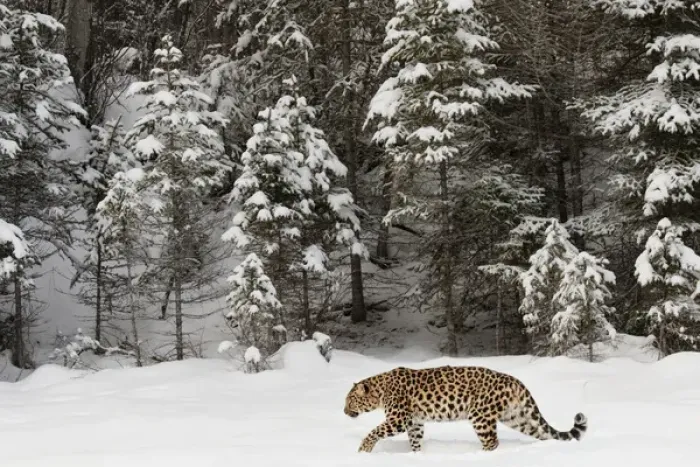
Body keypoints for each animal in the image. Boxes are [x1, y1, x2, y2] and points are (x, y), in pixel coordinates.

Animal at [344, 365, 587, 453]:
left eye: (350, 401)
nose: (344, 412)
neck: (380, 391)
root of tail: (515, 381)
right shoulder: (415, 422)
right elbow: (415, 441)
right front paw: (416, 456)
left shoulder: (397, 420)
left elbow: (374, 432)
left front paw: (363, 450)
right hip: (517, 417)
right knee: (543, 433)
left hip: (480, 416)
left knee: (492, 442)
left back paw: (480, 457)